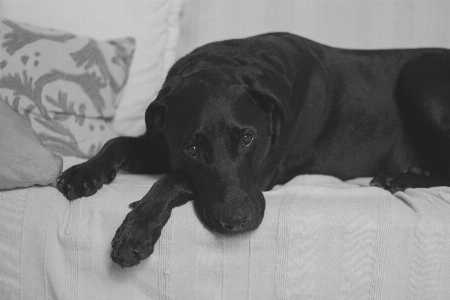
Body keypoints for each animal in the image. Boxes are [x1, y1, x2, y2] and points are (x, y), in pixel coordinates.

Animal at [56, 32, 450, 268]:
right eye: (192, 147)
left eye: (247, 138)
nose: (236, 222)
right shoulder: (161, 144)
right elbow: (118, 142)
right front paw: (84, 172)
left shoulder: (264, 173)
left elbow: (176, 177)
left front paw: (136, 230)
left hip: (419, 72)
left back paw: (400, 178)